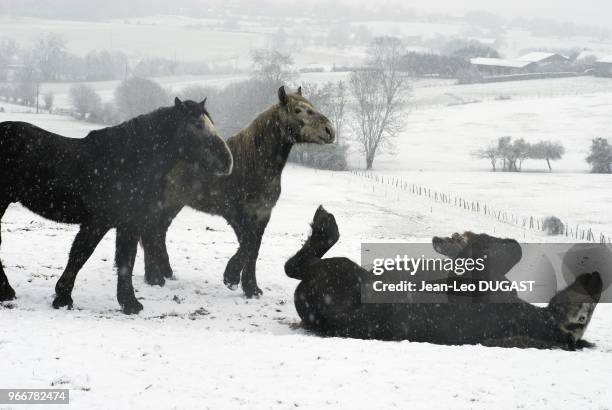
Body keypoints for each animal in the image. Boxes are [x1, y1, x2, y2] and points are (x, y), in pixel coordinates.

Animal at [286, 205, 604, 350]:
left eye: (583, 315)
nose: (597, 278)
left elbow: (509, 252)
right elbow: (506, 252)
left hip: (340, 271)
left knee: (298, 264)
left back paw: (325, 225)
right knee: (297, 265)